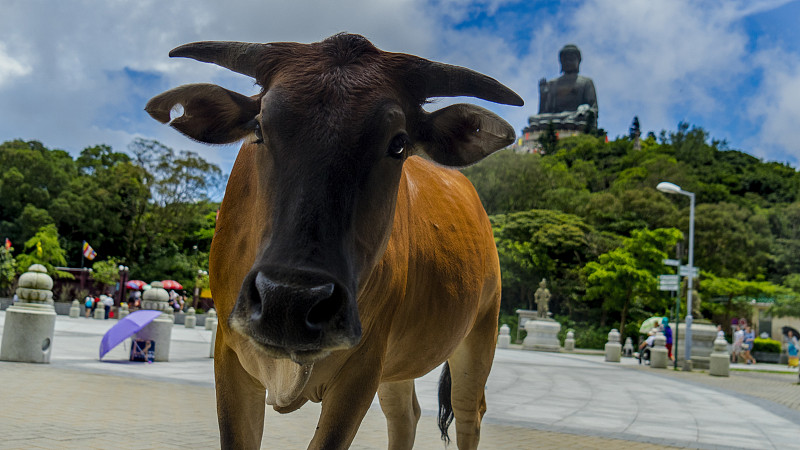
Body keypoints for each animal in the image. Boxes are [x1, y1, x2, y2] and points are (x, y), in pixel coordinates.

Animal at [148, 33, 524, 448]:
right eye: (260, 127)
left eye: (398, 143)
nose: (289, 302)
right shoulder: (230, 354)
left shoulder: (361, 368)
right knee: (405, 414)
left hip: (480, 335)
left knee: (468, 413)